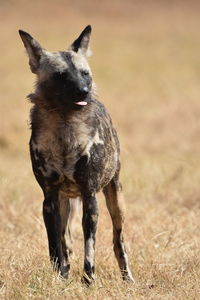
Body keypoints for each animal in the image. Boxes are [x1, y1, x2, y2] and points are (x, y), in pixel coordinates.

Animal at [19, 25, 134, 284]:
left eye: (84, 73)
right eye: (60, 75)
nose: (84, 91)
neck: (65, 128)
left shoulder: (90, 197)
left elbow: (90, 247)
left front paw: (88, 281)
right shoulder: (50, 200)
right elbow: (55, 247)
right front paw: (60, 279)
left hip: (116, 201)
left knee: (118, 241)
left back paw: (128, 278)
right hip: (65, 204)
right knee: (66, 242)